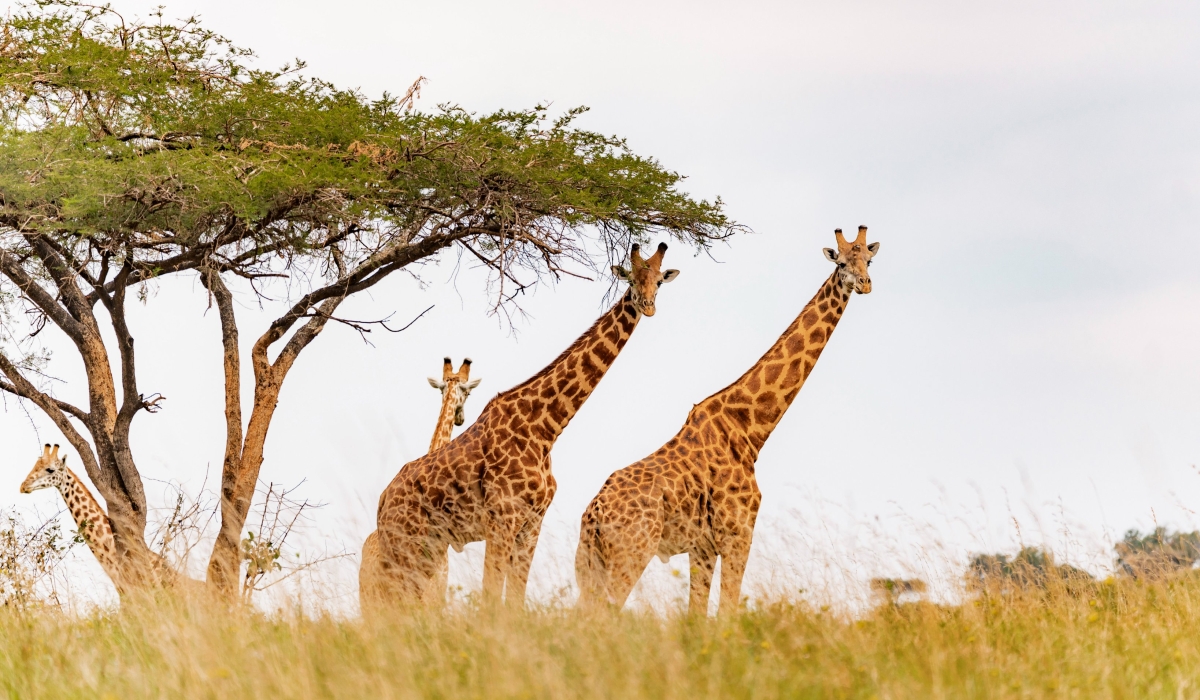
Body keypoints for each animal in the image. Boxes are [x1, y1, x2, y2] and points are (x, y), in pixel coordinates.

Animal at [575, 227, 880, 615]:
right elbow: (728, 611)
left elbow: (698, 613)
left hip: (589, 562)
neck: (750, 429)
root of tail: (593, 514)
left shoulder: (702, 547)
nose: (865, 284)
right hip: (629, 555)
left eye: (868, 259)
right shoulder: (739, 533)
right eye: (841, 263)